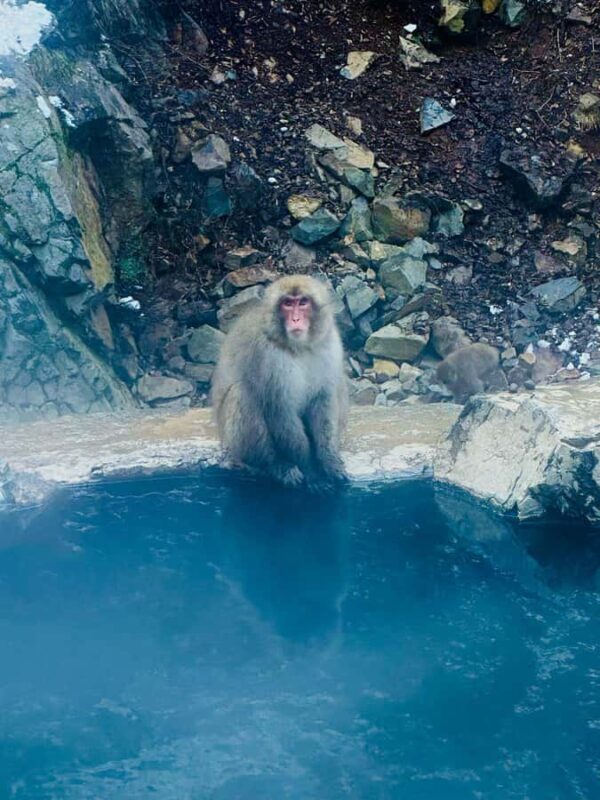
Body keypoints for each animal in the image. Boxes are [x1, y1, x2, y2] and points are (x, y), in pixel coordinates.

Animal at [211, 275, 349, 489]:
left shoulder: (330, 343)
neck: (298, 348)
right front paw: (310, 470)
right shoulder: (266, 356)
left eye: (303, 302)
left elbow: (323, 399)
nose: (295, 319)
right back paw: (275, 465)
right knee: (241, 394)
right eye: (287, 304)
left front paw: (328, 461)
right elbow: (278, 408)